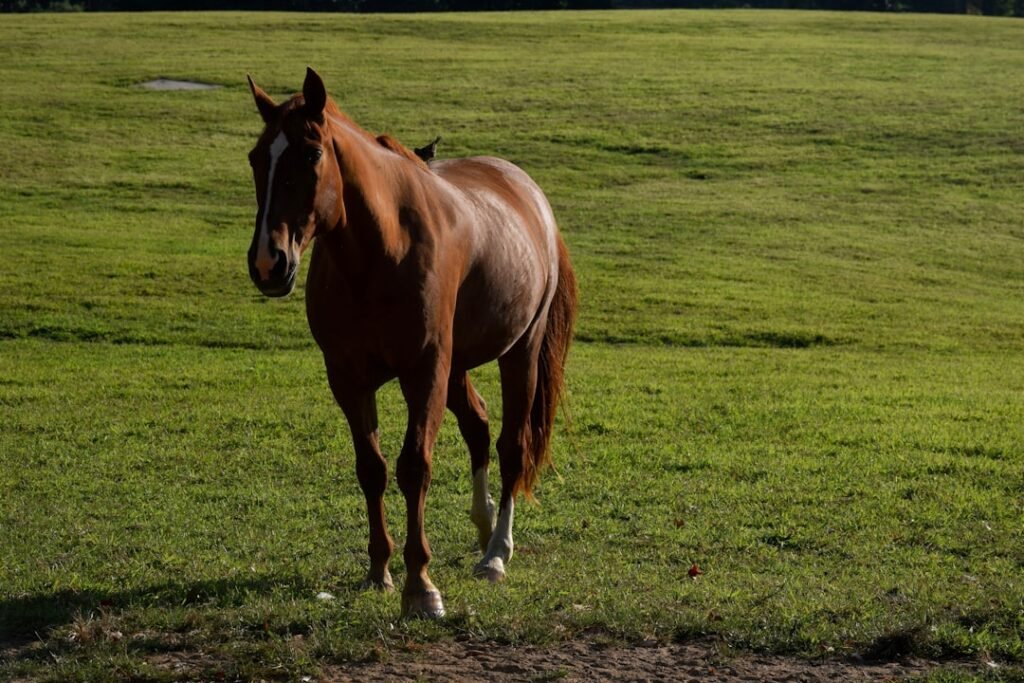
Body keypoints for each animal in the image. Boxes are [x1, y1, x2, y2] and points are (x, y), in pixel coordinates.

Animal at [241, 69, 577, 618]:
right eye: (256, 158)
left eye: (311, 155)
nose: (269, 262)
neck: (379, 253)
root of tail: (528, 192)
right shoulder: (348, 378)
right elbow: (372, 469)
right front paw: (379, 570)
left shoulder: (423, 371)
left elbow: (414, 466)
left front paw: (420, 585)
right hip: (456, 366)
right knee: (479, 426)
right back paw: (483, 523)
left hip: (518, 353)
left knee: (512, 446)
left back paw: (496, 553)